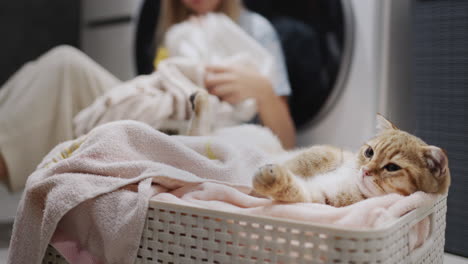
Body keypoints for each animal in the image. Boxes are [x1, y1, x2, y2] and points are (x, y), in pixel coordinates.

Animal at [188, 91, 452, 206]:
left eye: (392, 167)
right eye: (369, 152)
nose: (365, 170)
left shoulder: (319, 199)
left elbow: (293, 190)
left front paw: (269, 181)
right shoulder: (330, 152)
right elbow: (309, 160)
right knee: (198, 132)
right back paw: (202, 100)